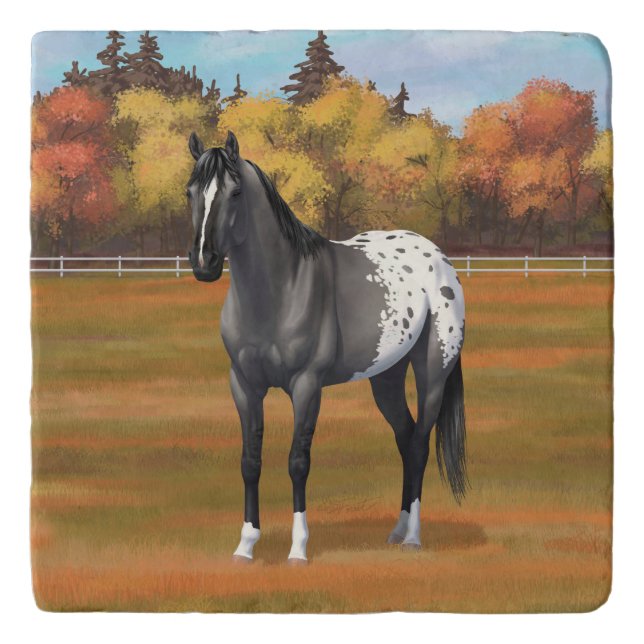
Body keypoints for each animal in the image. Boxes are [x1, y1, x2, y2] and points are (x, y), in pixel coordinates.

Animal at [186, 130, 467, 564]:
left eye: (234, 193)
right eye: (190, 192)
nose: (204, 263)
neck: (280, 289)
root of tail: (439, 258)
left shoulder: (307, 386)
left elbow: (298, 462)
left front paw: (298, 549)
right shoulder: (244, 386)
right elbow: (250, 461)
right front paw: (246, 545)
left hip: (432, 373)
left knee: (419, 444)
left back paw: (413, 538)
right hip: (386, 377)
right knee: (405, 439)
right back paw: (397, 530)